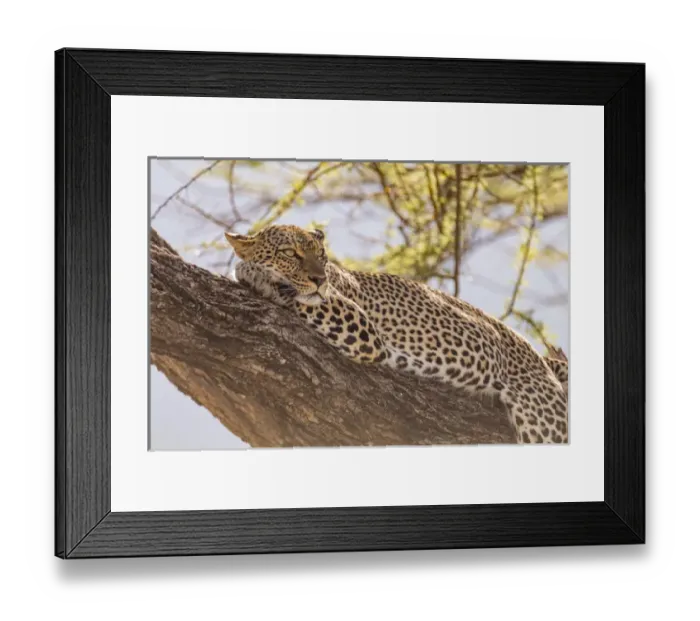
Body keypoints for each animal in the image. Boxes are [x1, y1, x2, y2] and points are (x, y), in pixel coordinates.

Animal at [226, 224, 569, 444]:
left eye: (321, 255)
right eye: (289, 253)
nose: (319, 279)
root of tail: (536, 354)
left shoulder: (361, 328)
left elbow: (299, 296)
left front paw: (252, 272)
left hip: (542, 415)